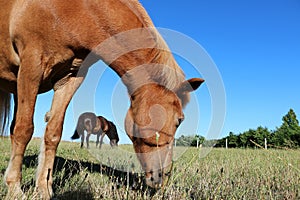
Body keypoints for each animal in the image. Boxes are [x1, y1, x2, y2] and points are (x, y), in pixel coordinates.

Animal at [0, 0, 203, 199]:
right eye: (179, 120)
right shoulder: (31, 66)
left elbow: (53, 133)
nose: (161, 177)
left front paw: (44, 188)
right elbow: (24, 130)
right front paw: (14, 188)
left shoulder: (69, 79)